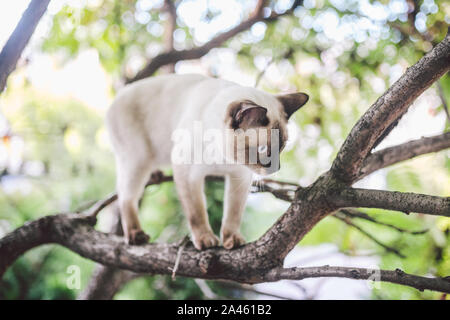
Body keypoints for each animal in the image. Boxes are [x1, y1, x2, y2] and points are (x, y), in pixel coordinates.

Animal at [106, 75, 310, 250]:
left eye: (281, 147)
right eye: (262, 150)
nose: (276, 168)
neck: (222, 157)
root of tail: (119, 95)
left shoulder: (239, 177)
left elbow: (233, 213)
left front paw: (232, 240)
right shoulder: (187, 174)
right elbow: (196, 213)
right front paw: (205, 240)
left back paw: (156, 175)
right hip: (137, 161)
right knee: (126, 197)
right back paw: (136, 235)